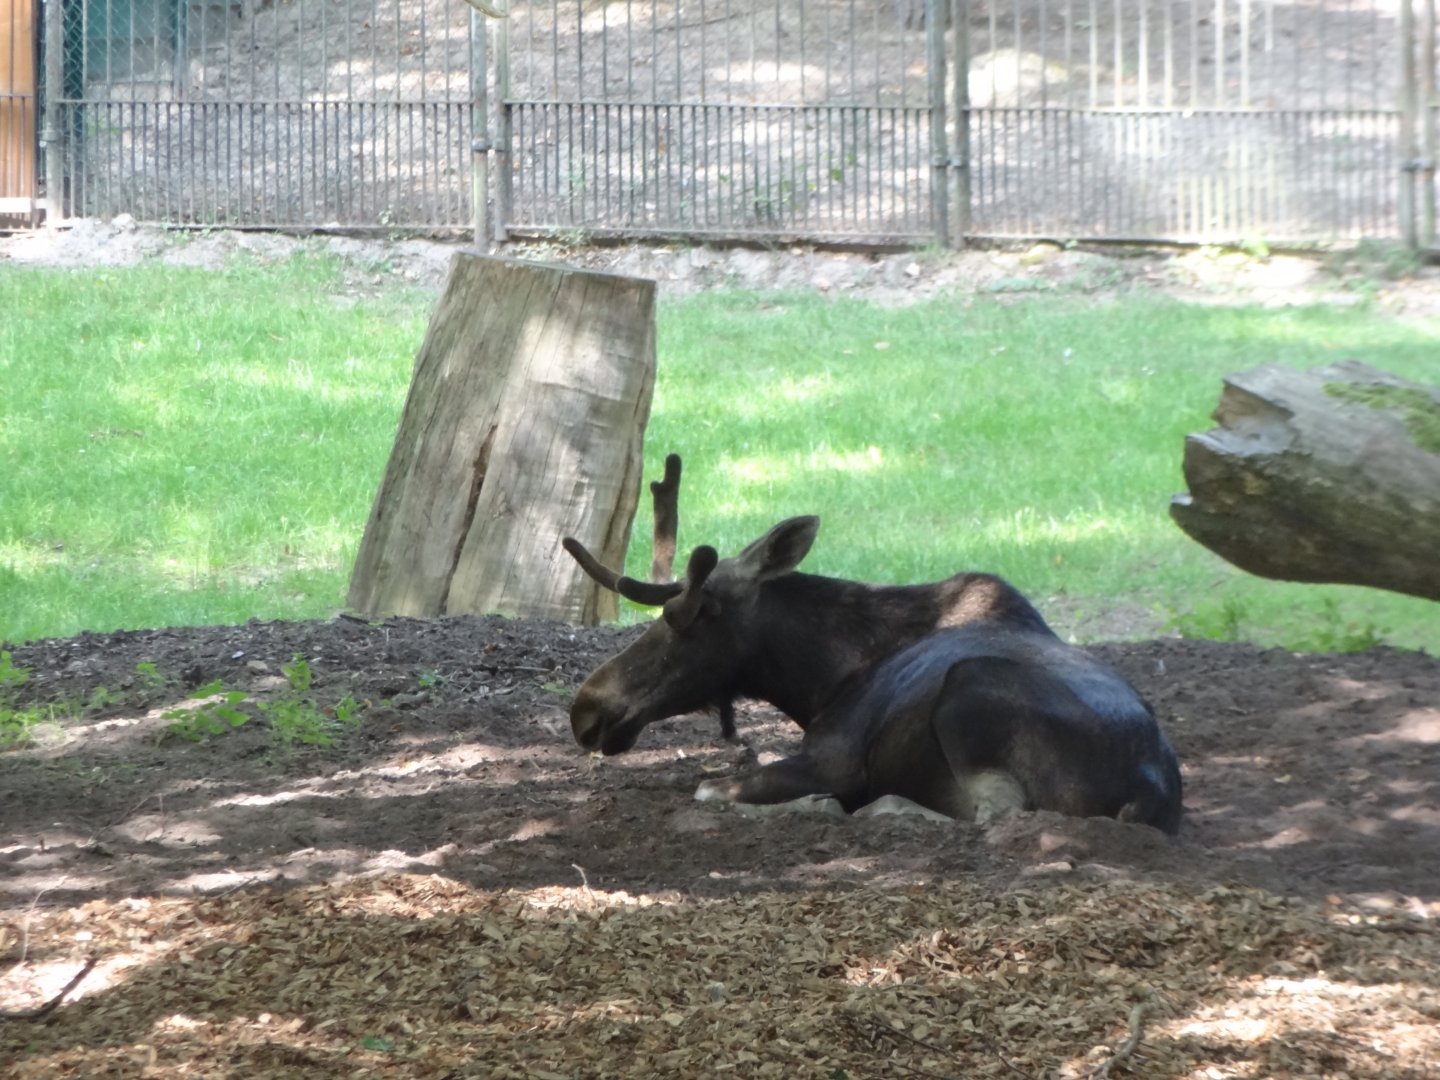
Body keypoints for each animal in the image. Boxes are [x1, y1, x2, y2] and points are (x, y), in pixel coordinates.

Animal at [563, 458, 1183, 834]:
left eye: (694, 616)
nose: (586, 709)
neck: (820, 680)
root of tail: (1147, 793)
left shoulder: (833, 758)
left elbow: (709, 790)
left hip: (971, 691)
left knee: (995, 815)